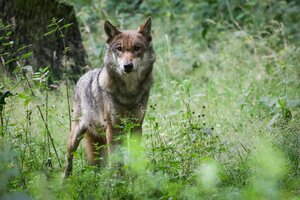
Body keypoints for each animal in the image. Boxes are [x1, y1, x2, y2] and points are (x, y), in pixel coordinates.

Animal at [64, 17, 156, 177]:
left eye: (136, 48)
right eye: (119, 48)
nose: (128, 66)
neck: (129, 92)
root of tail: (83, 76)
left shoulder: (136, 127)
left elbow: (134, 157)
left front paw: (136, 178)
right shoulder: (113, 128)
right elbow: (116, 160)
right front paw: (118, 180)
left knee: (97, 167)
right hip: (76, 137)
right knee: (68, 160)